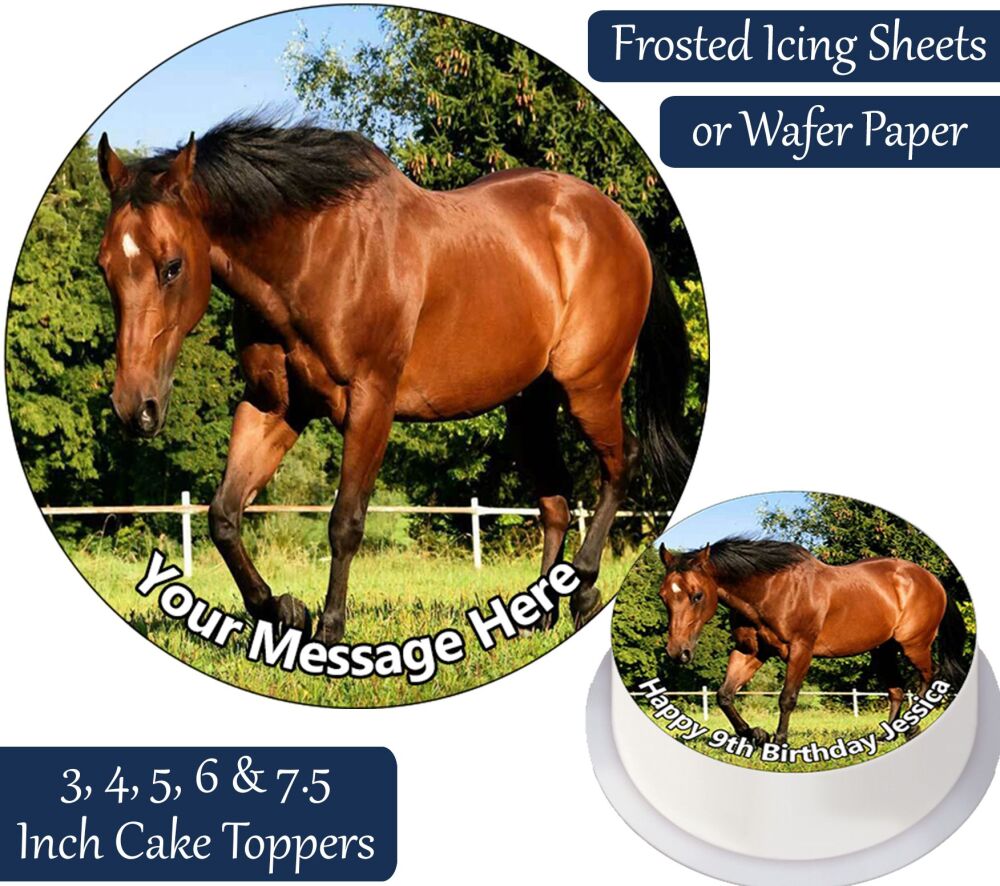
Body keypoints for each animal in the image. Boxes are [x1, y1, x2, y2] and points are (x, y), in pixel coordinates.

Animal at [94, 113, 691, 646]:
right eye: (104, 266)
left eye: (172, 266)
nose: (134, 407)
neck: (313, 255)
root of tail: (620, 225)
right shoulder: (273, 406)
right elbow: (223, 515)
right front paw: (284, 610)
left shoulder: (370, 403)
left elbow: (345, 521)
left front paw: (330, 634)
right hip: (529, 403)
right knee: (556, 502)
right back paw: (537, 611)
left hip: (590, 387)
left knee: (620, 464)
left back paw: (584, 590)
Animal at [657, 537, 967, 744]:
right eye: (663, 596)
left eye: (697, 595)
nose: (677, 652)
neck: (771, 590)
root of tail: (933, 581)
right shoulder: (750, 652)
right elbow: (724, 695)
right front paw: (755, 734)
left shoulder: (801, 650)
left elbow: (787, 698)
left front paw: (779, 742)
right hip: (883, 650)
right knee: (896, 690)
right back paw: (888, 734)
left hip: (914, 645)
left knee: (927, 679)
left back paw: (911, 728)